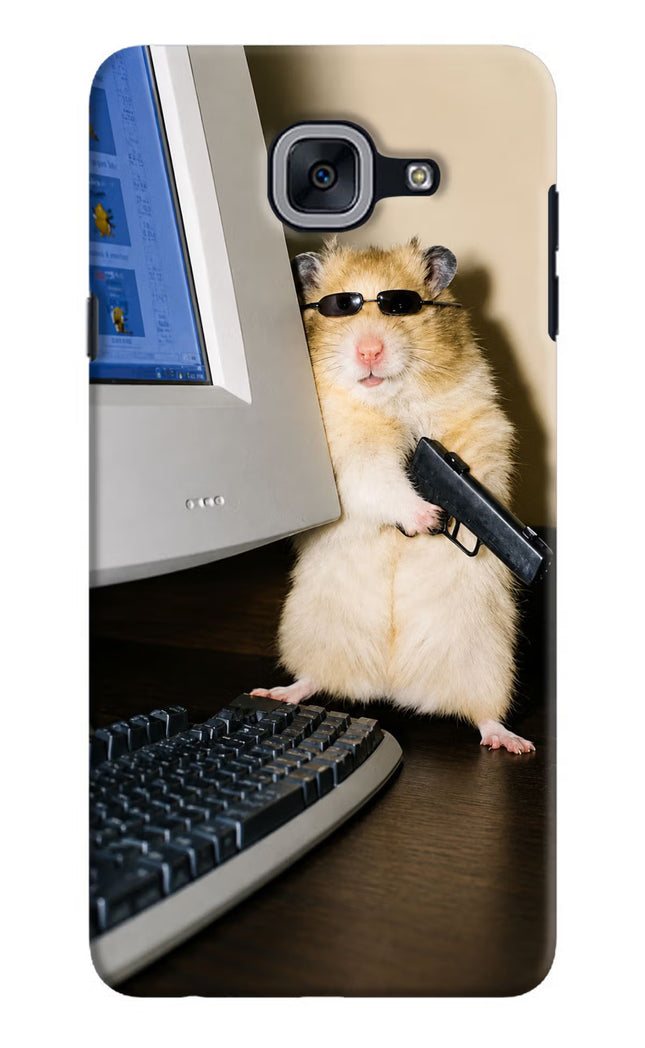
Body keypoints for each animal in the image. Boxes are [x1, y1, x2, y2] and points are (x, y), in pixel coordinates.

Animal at [252, 238, 534, 754]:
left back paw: (512, 742)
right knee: (313, 679)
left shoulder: (481, 424)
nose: (369, 350)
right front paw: (428, 517)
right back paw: (277, 692)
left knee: (484, 714)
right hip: (311, 632)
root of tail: (393, 686)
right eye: (339, 307)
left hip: (487, 660)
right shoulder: (348, 457)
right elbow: (380, 481)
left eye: (401, 306)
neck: (389, 401)